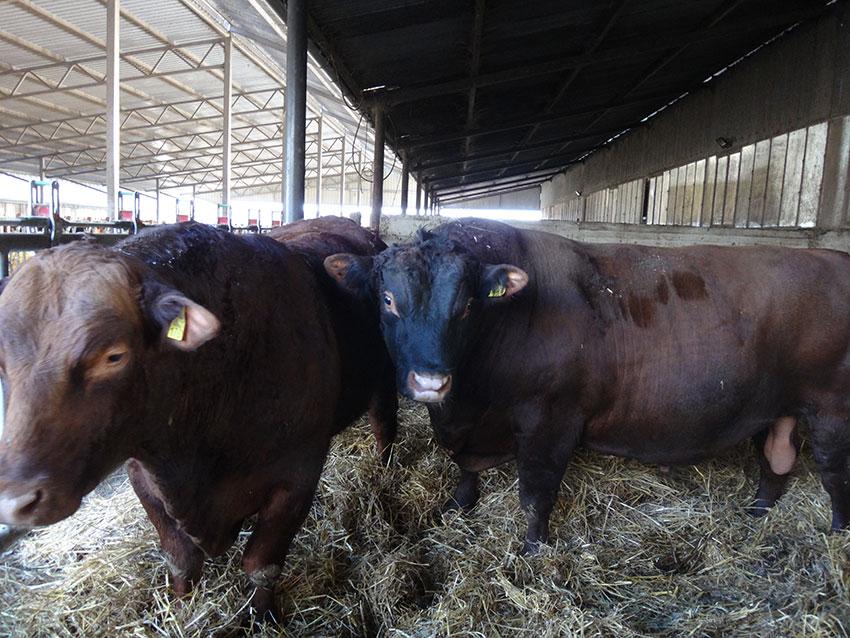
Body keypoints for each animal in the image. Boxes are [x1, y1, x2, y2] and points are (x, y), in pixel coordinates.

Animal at [0, 221, 381, 622]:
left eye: (113, 356)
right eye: (2, 361)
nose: (16, 501)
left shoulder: (297, 477)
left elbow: (261, 563)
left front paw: (260, 615)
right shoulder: (144, 474)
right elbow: (181, 559)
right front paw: (182, 607)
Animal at [325, 218, 850, 554]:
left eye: (468, 305)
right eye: (387, 299)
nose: (431, 380)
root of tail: (832, 256)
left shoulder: (550, 420)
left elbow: (536, 494)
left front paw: (533, 551)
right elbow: (465, 471)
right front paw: (457, 506)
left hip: (832, 407)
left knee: (833, 472)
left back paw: (838, 534)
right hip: (783, 403)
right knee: (777, 457)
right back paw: (757, 514)